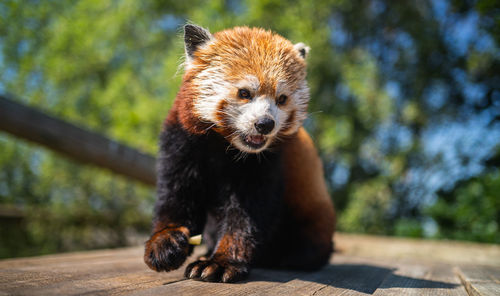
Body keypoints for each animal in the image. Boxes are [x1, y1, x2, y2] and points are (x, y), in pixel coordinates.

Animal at [145, 24, 336, 284]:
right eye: (245, 93)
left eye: (281, 99)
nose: (265, 124)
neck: (227, 147)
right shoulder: (182, 142)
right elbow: (176, 194)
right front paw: (165, 242)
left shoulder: (266, 164)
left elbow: (247, 214)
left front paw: (222, 262)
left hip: (313, 213)